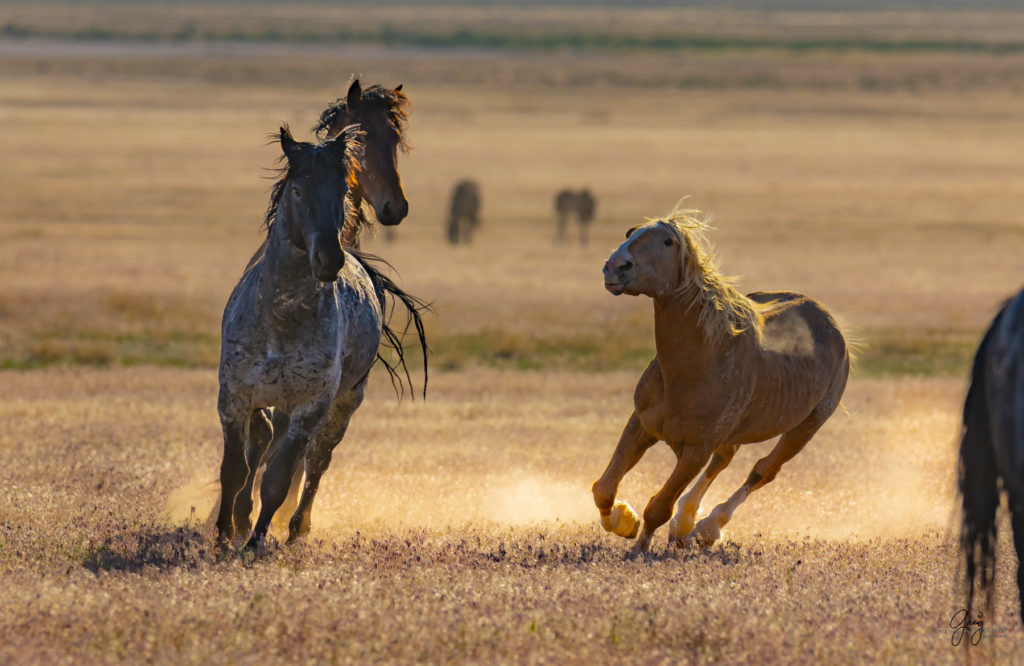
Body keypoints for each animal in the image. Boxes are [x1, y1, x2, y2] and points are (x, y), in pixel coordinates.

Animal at [216, 126, 423, 549]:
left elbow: (278, 480)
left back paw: (297, 527)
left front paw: (256, 541)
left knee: (316, 462)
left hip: (342, 406)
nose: (329, 258)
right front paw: (224, 534)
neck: (280, 319)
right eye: (297, 190)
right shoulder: (234, 398)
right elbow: (235, 469)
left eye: (342, 188)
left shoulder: (310, 407)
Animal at [593, 206, 847, 549]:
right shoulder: (642, 426)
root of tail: (829, 320)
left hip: (806, 427)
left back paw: (707, 526)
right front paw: (624, 522)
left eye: (668, 241)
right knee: (725, 459)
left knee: (763, 471)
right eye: (630, 232)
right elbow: (604, 488)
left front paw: (641, 545)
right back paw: (686, 523)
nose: (616, 266)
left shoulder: (696, 449)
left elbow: (659, 507)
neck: (694, 365)